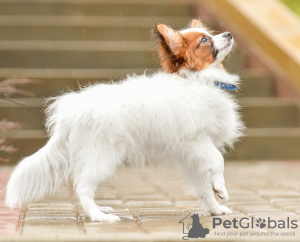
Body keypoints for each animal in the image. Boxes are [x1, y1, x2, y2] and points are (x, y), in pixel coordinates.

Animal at [4, 19, 244, 222]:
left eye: (210, 34)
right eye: (204, 40)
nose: (229, 34)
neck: (198, 81)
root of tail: (70, 113)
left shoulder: (192, 156)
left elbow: (203, 187)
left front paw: (215, 208)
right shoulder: (197, 140)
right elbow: (218, 161)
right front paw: (221, 189)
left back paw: (100, 210)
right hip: (104, 157)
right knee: (82, 187)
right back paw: (99, 217)